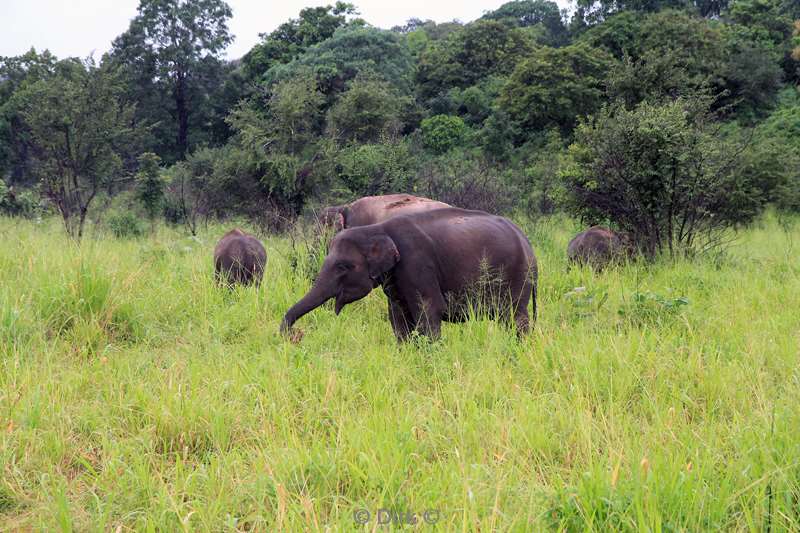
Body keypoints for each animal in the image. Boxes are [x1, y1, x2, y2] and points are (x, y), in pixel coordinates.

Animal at [282, 208, 536, 340]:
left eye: (343, 266)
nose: (296, 334)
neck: (377, 229)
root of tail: (527, 242)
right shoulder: (395, 278)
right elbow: (398, 318)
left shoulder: (417, 264)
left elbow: (429, 311)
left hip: (517, 277)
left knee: (516, 318)